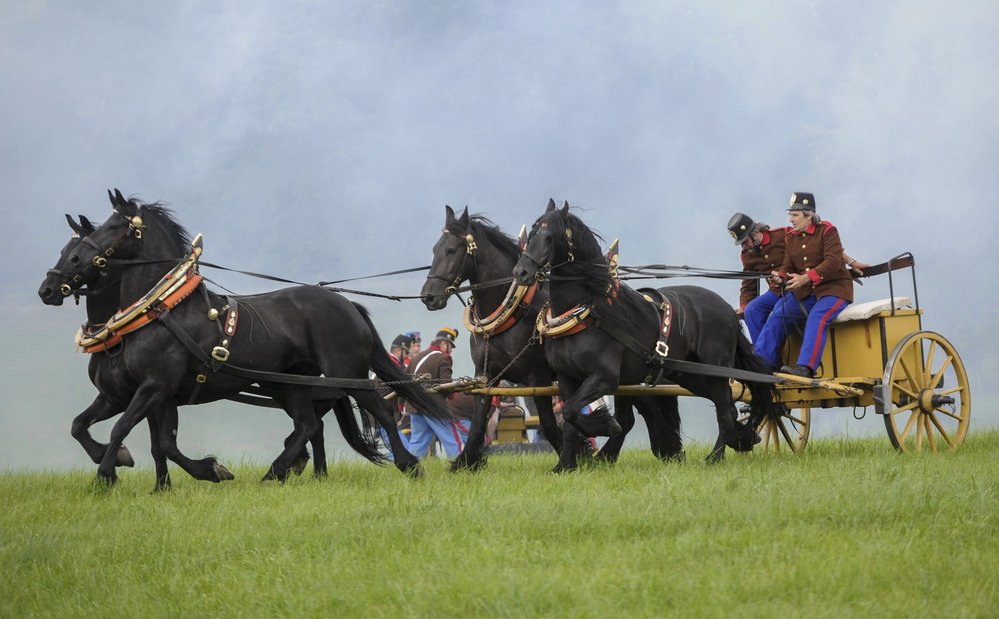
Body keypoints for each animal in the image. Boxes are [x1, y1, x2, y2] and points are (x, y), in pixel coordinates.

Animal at [36, 189, 450, 484]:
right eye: (69, 245)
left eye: (112, 227)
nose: (48, 288)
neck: (160, 311)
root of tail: (346, 303)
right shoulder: (133, 394)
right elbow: (108, 431)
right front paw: (166, 479)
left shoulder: (153, 387)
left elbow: (126, 430)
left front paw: (107, 473)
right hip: (291, 383)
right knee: (308, 424)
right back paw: (277, 471)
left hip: (345, 374)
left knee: (378, 410)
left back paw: (408, 465)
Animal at [418, 206, 684, 472]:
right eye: (434, 249)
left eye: (452, 250)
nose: (428, 297)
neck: (512, 313)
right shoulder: (486, 375)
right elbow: (477, 423)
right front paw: (465, 462)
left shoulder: (538, 376)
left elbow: (547, 422)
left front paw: (577, 454)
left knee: (635, 413)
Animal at [516, 202, 780, 470]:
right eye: (531, 234)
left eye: (549, 236)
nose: (521, 272)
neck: (586, 314)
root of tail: (728, 310)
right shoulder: (567, 378)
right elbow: (570, 419)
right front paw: (565, 466)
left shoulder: (605, 377)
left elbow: (573, 412)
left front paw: (606, 426)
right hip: (690, 375)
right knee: (725, 406)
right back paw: (738, 439)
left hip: (715, 369)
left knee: (724, 409)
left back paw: (715, 456)